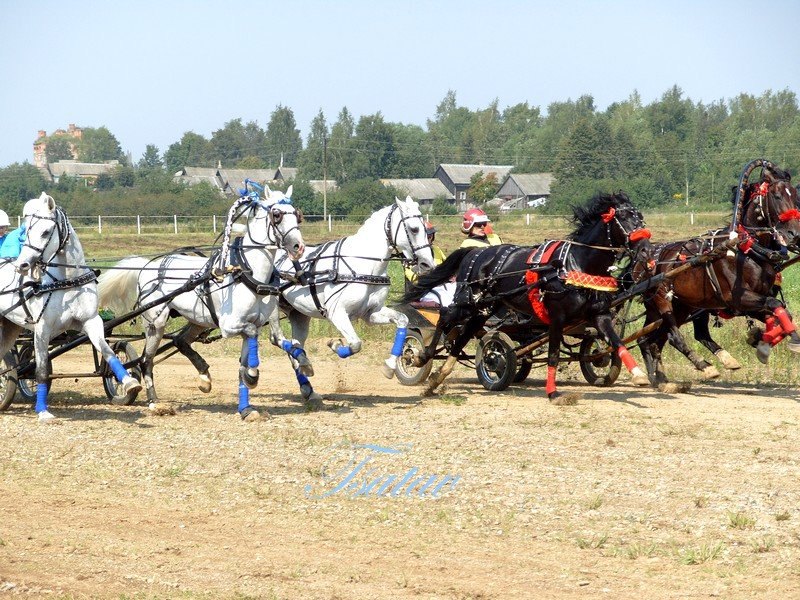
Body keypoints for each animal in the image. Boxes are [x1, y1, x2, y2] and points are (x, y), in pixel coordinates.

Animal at [0, 192, 141, 422]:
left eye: (45, 232)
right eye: (25, 231)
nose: (22, 265)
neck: (66, 282)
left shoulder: (90, 322)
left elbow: (108, 351)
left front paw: (129, 382)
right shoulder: (42, 329)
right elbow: (41, 371)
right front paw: (42, 410)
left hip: (10, 328)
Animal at [94, 185, 306, 420]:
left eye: (298, 215)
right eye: (276, 214)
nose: (298, 247)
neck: (247, 273)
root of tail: (147, 266)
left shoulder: (253, 324)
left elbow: (243, 363)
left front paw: (246, 408)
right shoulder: (230, 325)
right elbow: (249, 345)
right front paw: (252, 376)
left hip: (197, 320)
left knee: (179, 341)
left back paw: (204, 376)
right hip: (155, 323)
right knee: (145, 359)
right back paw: (154, 403)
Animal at [274, 196, 438, 404]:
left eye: (424, 228)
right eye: (414, 229)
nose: (427, 264)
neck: (362, 265)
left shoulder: (371, 314)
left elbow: (403, 320)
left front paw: (390, 366)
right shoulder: (337, 313)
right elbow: (355, 344)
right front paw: (335, 345)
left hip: (298, 315)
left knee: (295, 349)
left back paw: (308, 385)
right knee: (276, 339)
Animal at [404, 190, 652, 400]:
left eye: (640, 217)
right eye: (623, 218)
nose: (646, 251)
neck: (576, 265)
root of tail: (475, 252)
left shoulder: (599, 315)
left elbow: (616, 341)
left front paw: (639, 375)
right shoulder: (557, 317)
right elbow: (553, 355)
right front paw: (553, 392)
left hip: (485, 309)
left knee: (463, 335)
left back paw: (437, 379)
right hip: (469, 303)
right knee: (446, 319)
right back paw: (421, 356)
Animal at [632, 159, 800, 386]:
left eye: (796, 195)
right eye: (777, 196)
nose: (794, 233)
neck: (746, 249)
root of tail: (643, 261)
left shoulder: (752, 301)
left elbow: (779, 312)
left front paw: (761, 340)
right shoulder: (739, 298)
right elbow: (776, 305)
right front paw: (787, 340)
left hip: (681, 306)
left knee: (650, 339)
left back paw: (659, 379)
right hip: (662, 300)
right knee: (671, 336)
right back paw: (702, 367)